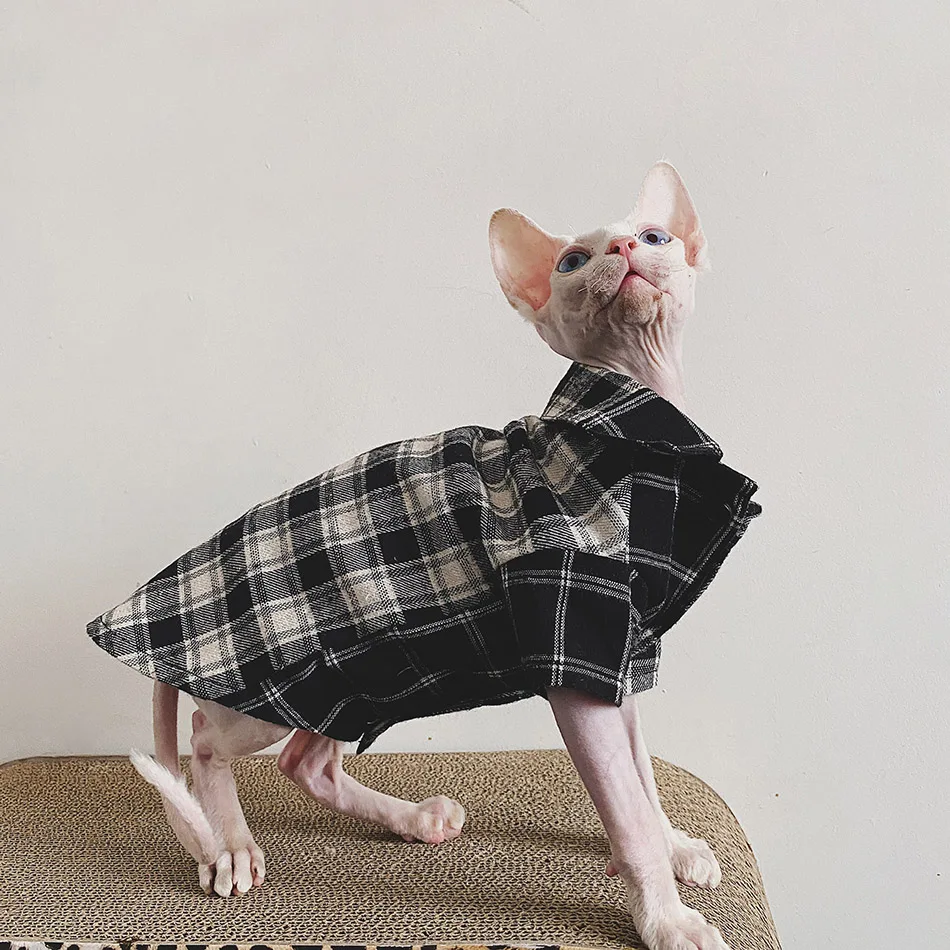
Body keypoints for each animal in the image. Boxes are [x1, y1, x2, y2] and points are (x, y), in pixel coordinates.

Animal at [87, 161, 761, 950]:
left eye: (656, 237)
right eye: (571, 261)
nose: (625, 247)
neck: (632, 438)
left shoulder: (621, 649)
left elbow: (645, 779)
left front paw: (677, 849)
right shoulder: (574, 640)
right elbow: (625, 806)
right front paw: (666, 917)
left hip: (357, 683)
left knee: (305, 764)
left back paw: (411, 820)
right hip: (278, 687)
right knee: (203, 739)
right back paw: (231, 846)